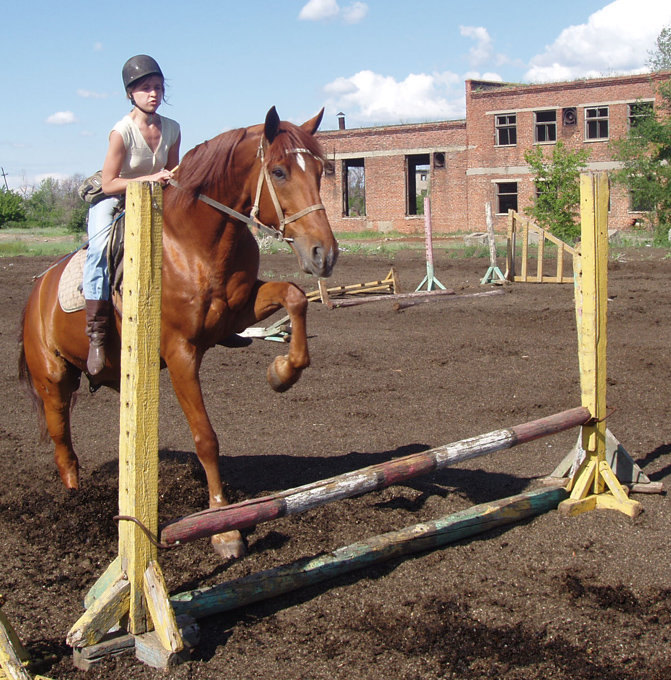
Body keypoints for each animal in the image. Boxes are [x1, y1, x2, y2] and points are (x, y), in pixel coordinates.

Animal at [18, 106, 338, 556]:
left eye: (322, 171)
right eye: (278, 172)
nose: (324, 255)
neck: (196, 242)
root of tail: (36, 290)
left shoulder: (238, 313)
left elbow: (294, 297)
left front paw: (282, 373)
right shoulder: (181, 351)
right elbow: (206, 438)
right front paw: (224, 527)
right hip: (53, 381)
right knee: (64, 446)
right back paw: (74, 505)